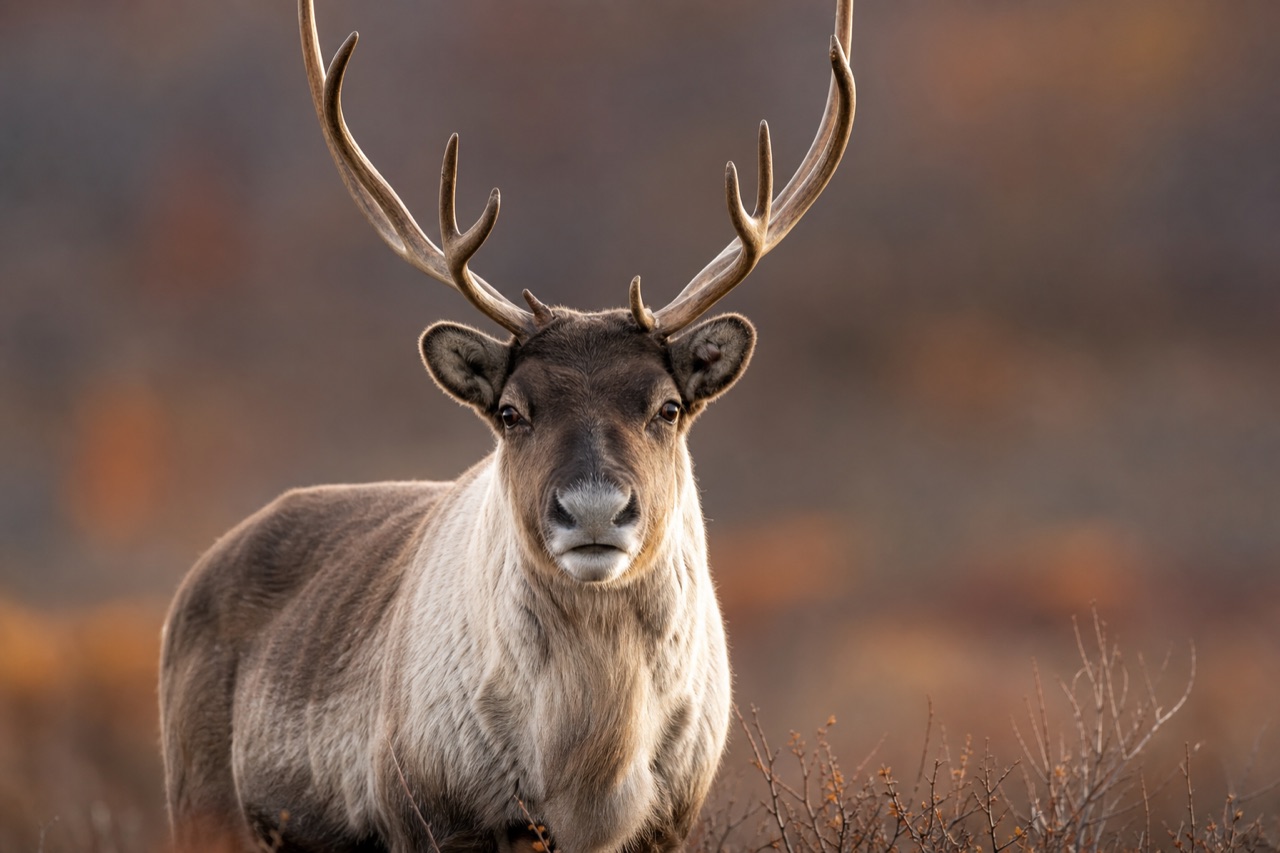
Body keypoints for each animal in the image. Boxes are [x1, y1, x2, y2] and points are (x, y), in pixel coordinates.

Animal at [158, 1, 855, 851]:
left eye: (667, 406)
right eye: (512, 411)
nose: (594, 510)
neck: (591, 768)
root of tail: (195, 577)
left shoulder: (668, 821)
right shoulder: (435, 815)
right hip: (201, 807)